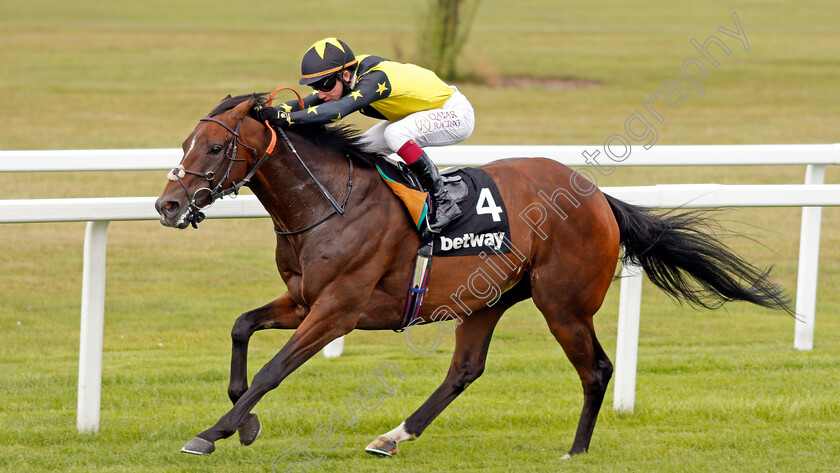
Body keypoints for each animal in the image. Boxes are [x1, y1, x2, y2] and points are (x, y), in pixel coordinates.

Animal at [154, 91, 792, 458]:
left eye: (214, 148)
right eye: (185, 142)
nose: (167, 205)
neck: (330, 202)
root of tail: (596, 195)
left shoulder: (338, 310)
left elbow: (273, 370)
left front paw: (213, 433)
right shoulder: (302, 300)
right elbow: (241, 328)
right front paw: (244, 423)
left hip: (563, 303)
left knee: (597, 368)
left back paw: (576, 451)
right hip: (487, 299)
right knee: (465, 369)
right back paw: (393, 436)